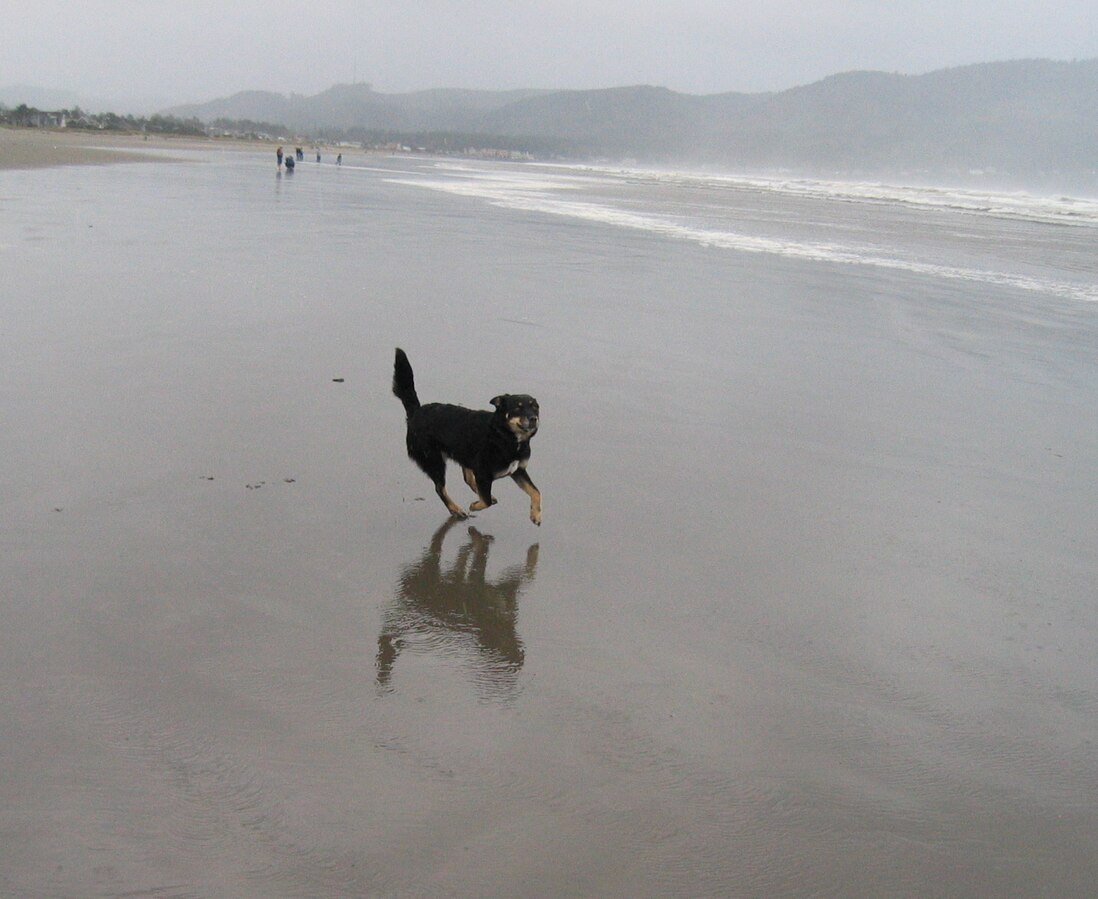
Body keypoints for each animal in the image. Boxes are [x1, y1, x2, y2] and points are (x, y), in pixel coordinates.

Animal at [393, 346, 542, 526]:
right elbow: (485, 501)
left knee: (467, 477)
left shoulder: (518, 470)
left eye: (535, 407)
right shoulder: (484, 473)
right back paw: (455, 509)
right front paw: (475, 505)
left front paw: (536, 515)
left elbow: (536, 491)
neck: (504, 436)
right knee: (440, 488)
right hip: (433, 460)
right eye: (518, 408)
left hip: (463, 453)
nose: (534, 419)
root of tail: (416, 412)